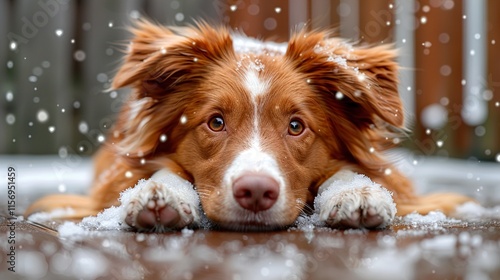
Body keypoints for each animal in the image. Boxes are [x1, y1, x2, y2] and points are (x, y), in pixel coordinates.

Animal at [26, 19, 472, 232]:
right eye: (215, 122)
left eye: (297, 126)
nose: (256, 192)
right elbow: (160, 170)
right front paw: (159, 194)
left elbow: (350, 172)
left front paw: (357, 193)